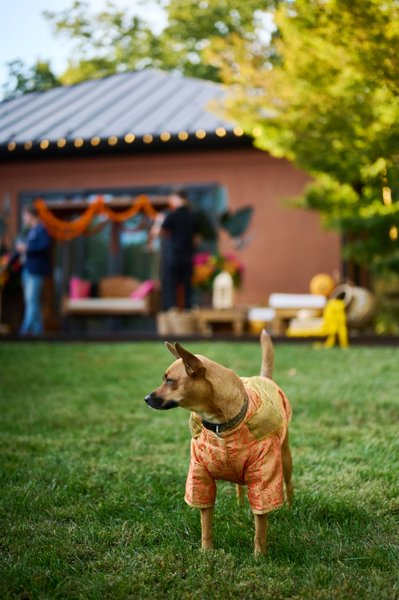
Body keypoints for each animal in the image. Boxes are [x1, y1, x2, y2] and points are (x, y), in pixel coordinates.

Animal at [145, 330, 292, 556]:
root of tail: (264, 377)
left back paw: (291, 509)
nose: (146, 398)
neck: (220, 427)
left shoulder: (263, 476)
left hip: (285, 459)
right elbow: (205, 520)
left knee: (289, 484)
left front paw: (259, 555)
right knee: (240, 487)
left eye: (169, 381)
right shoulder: (200, 476)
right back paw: (240, 507)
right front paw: (207, 551)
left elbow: (260, 523)